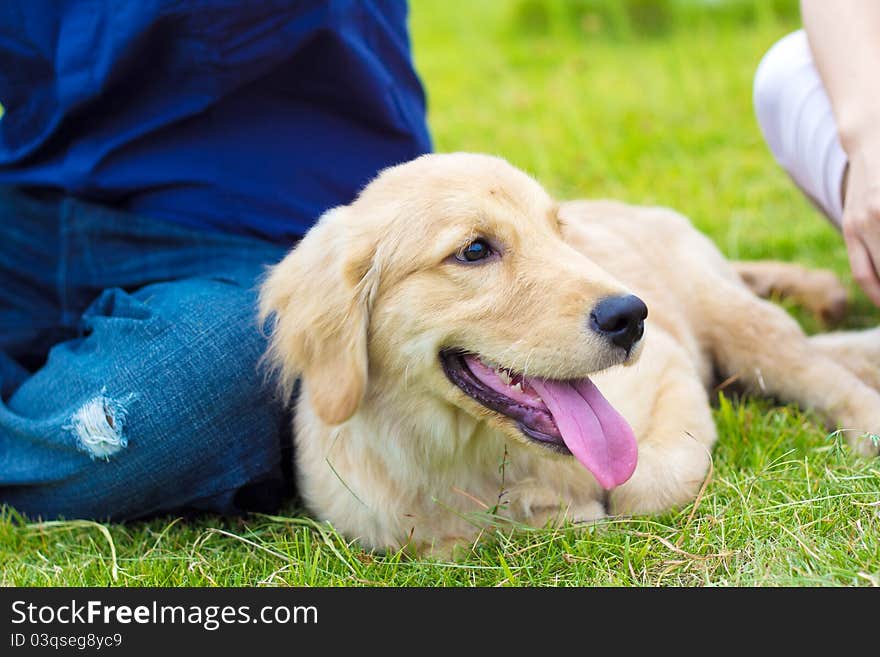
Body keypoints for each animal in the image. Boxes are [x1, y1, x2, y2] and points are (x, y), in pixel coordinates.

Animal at [260, 152, 880, 552]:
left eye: (560, 232)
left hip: (740, 321)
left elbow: (644, 487)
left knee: (823, 372)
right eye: (475, 250)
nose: (632, 316)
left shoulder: (669, 368)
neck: (477, 457)